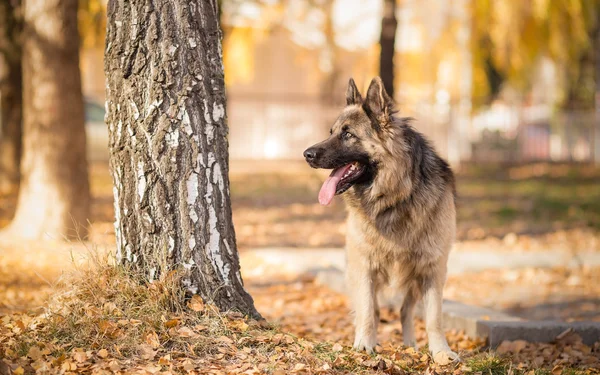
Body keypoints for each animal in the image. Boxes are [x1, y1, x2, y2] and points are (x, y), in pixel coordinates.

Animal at [304, 77, 460, 364]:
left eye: (347, 134)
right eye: (331, 131)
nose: (306, 154)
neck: (396, 196)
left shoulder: (432, 269)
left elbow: (434, 317)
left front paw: (441, 351)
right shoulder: (365, 266)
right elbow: (367, 311)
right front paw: (364, 345)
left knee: (405, 311)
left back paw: (411, 345)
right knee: (374, 309)